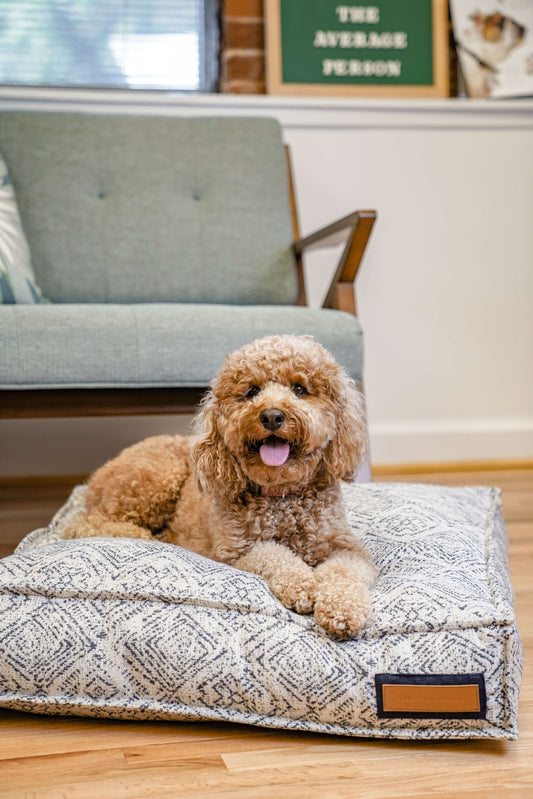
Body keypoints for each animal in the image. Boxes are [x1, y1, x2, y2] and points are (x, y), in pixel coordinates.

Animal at [64, 334, 376, 640]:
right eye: (252, 391)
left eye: (299, 388)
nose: (272, 416)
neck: (281, 496)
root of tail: (99, 474)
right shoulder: (237, 550)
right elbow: (276, 557)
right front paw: (304, 586)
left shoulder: (347, 548)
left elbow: (344, 573)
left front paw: (343, 612)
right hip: (155, 479)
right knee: (83, 523)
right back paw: (143, 536)